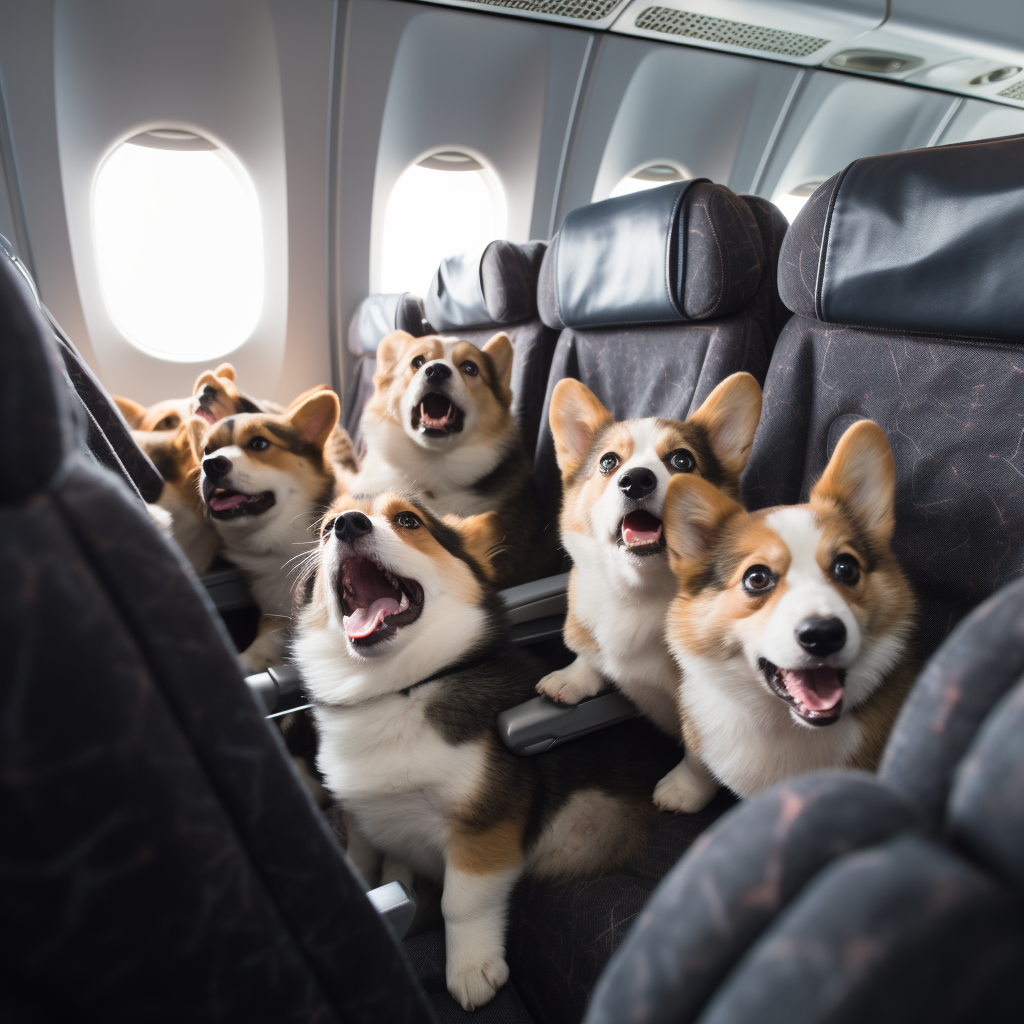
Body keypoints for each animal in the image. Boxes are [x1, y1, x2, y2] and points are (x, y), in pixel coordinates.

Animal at [188, 387, 339, 667]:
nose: (211, 464)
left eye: (259, 444)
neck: (280, 545)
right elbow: (260, 646)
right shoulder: (274, 619)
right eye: (207, 450)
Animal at [292, 491, 679, 1011]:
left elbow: (462, 901)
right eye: (323, 529)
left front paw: (471, 966)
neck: (400, 690)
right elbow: (361, 861)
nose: (346, 525)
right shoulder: (360, 817)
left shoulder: (486, 824)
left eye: (408, 520)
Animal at [536, 374, 761, 745]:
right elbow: (590, 659)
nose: (636, 480)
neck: (638, 592)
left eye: (682, 460)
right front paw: (573, 677)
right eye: (608, 462)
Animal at [655, 419, 921, 811]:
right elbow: (696, 756)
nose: (824, 634)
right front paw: (684, 788)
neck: (781, 724)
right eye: (757, 578)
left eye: (847, 568)